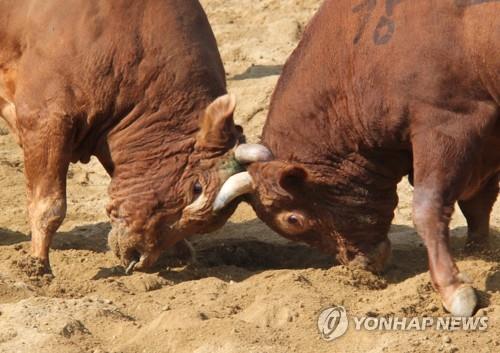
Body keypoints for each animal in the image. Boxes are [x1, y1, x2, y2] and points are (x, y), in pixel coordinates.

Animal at [0, 0, 270, 274]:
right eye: (196, 188)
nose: (139, 257)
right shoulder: (45, 120)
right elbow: (49, 206)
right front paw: (38, 265)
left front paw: (181, 252)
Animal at [217, 0, 500, 314]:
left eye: (293, 219)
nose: (360, 264)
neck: (359, 56)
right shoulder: (487, 143)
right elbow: (476, 204)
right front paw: (479, 253)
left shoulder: (446, 125)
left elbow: (428, 208)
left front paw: (453, 288)